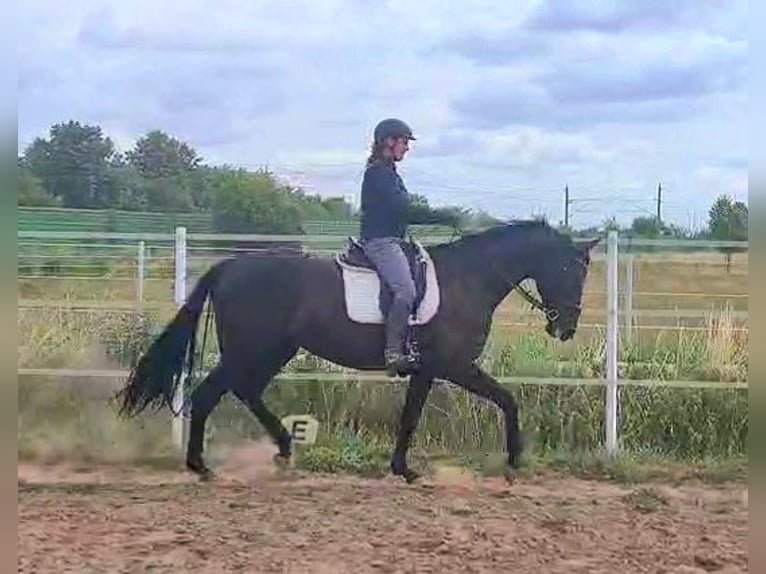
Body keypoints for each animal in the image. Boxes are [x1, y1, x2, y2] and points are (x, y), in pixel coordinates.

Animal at [115, 219, 600, 483]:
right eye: (569, 269)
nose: (565, 328)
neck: (469, 279)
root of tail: (229, 266)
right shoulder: (453, 365)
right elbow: (507, 399)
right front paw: (515, 459)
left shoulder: (429, 370)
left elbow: (410, 417)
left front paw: (402, 468)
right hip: (252, 350)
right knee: (212, 394)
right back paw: (205, 465)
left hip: (272, 351)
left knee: (243, 392)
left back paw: (277, 449)